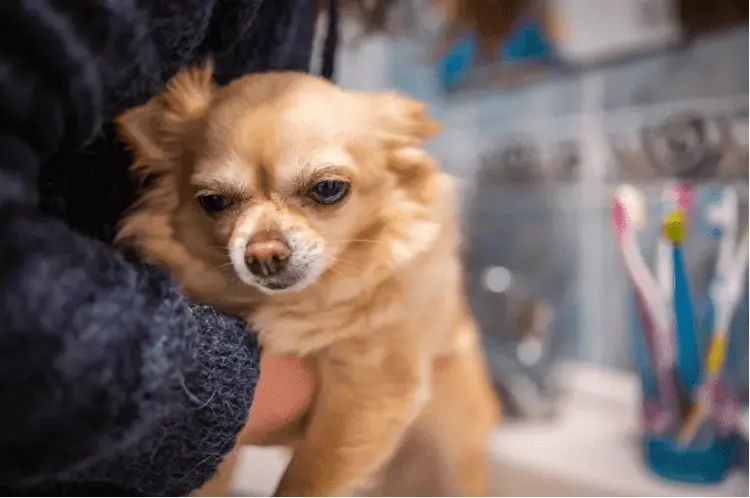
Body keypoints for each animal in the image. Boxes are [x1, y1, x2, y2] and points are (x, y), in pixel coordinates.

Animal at [117, 64, 502, 496]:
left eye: (328, 189)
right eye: (213, 201)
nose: (263, 253)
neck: (299, 300)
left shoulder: (370, 392)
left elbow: (308, 480)